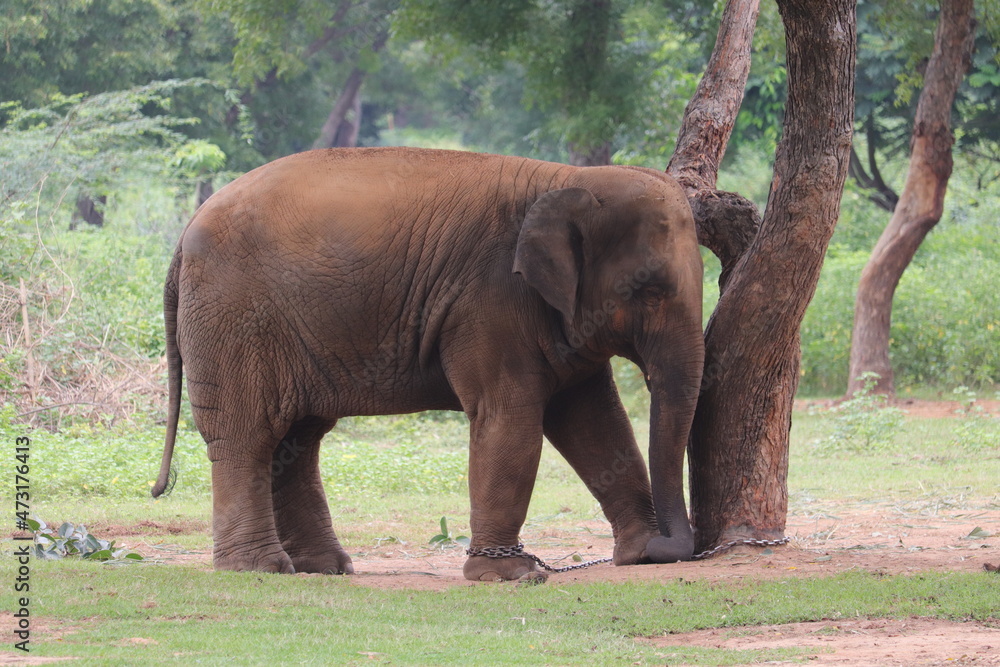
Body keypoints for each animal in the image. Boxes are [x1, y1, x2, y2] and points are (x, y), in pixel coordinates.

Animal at [152, 147, 705, 582]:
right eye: (650, 290)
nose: (673, 546)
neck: (569, 176)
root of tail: (181, 239)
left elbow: (594, 422)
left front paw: (639, 554)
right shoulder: (487, 300)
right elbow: (509, 419)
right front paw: (511, 575)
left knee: (298, 439)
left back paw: (324, 568)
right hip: (234, 318)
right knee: (249, 435)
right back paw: (261, 569)